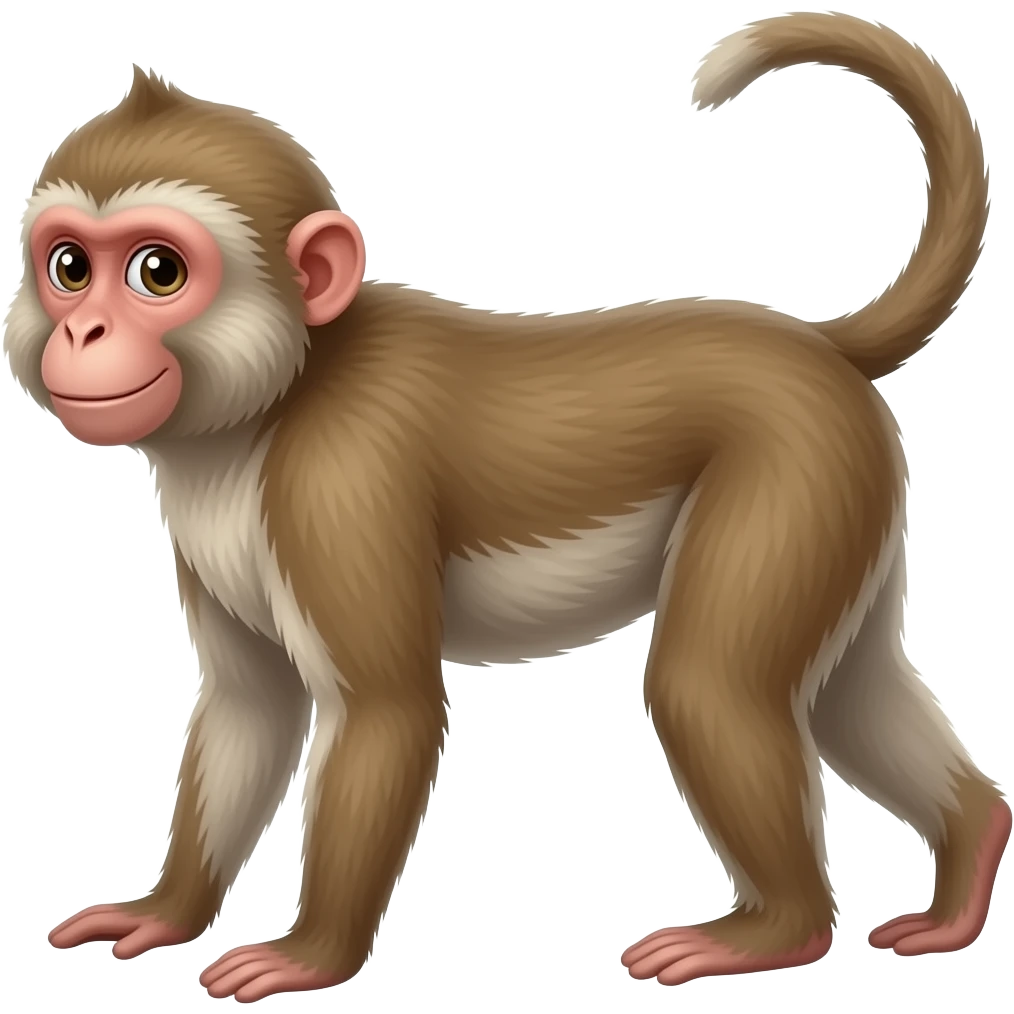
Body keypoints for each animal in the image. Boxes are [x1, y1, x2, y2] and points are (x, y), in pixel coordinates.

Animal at [3, 10, 1008, 1001]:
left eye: (158, 273)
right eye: (69, 267)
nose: (84, 331)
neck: (274, 400)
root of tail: (817, 348)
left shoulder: (342, 480)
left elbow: (388, 711)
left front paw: (312, 955)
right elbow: (251, 704)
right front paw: (166, 912)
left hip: (796, 467)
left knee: (709, 684)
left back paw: (778, 929)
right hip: (852, 487)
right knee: (847, 687)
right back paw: (970, 854)